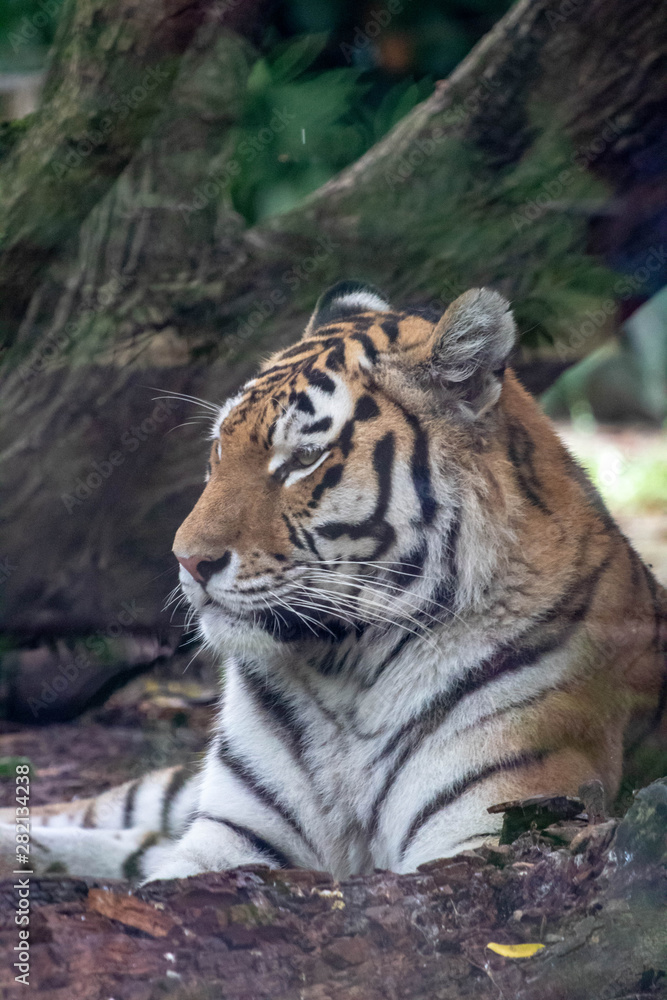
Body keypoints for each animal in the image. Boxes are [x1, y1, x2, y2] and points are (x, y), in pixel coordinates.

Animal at [2, 281, 665, 884]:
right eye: (219, 449)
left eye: (302, 460)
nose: (187, 560)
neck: (343, 676)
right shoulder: (229, 835)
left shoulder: (488, 827)